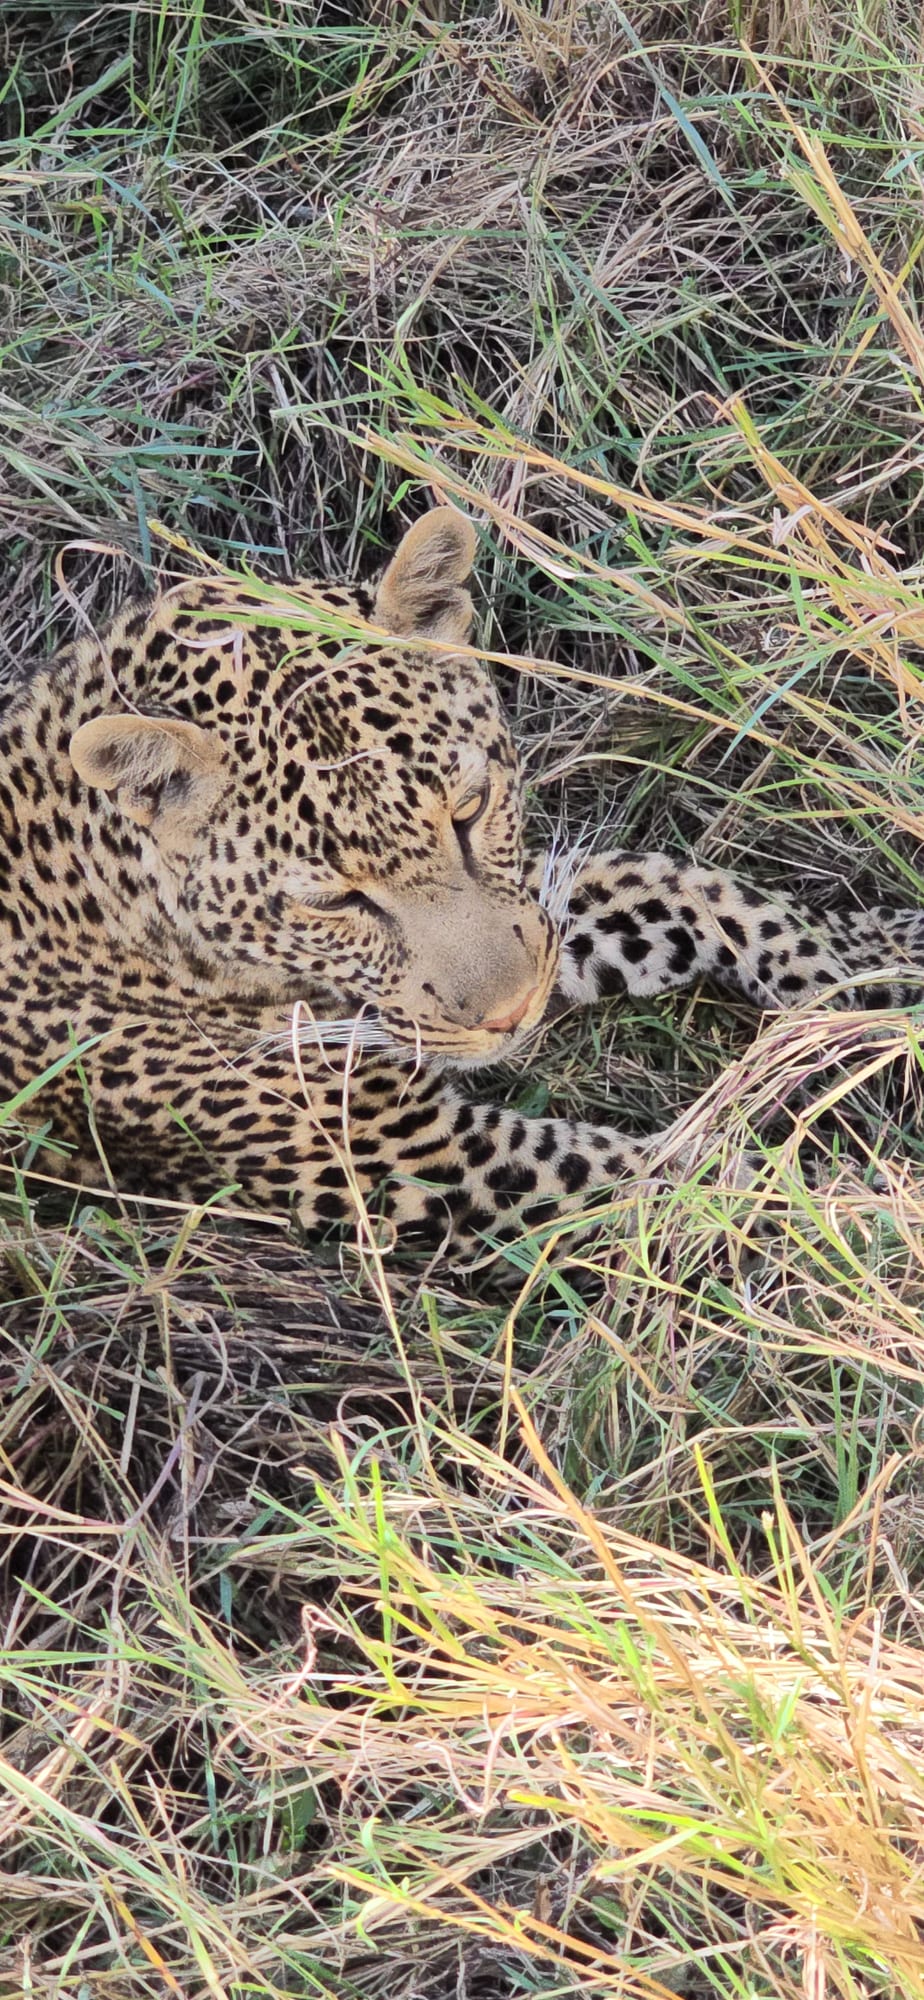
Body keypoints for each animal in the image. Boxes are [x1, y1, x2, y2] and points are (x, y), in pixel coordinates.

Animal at [2, 504, 923, 1257]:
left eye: (470, 810)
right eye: (334, 901)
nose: (513, 1016)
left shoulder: (524, 918)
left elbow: (684, 889)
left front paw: (872, 971)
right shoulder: (406, 1158)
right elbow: (679, 1187)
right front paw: (861, 1223)